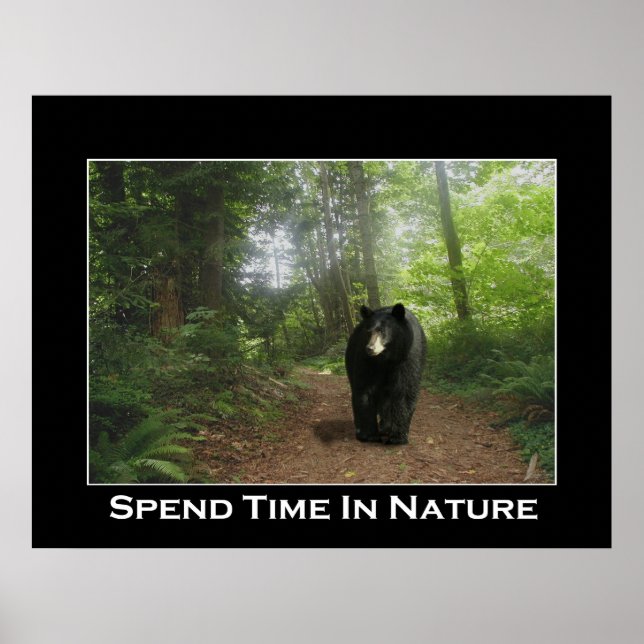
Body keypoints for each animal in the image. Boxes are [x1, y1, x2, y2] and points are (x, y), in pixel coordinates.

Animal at [345, 303, 427, 445]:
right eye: (368, 332)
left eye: (382, 331)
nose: (370, 348)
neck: (387, 357)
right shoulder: (365, 359)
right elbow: (364, 388)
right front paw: (369, 434)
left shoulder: (408, 356)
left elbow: (405, 390)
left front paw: (398, 436)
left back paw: (386, 426)